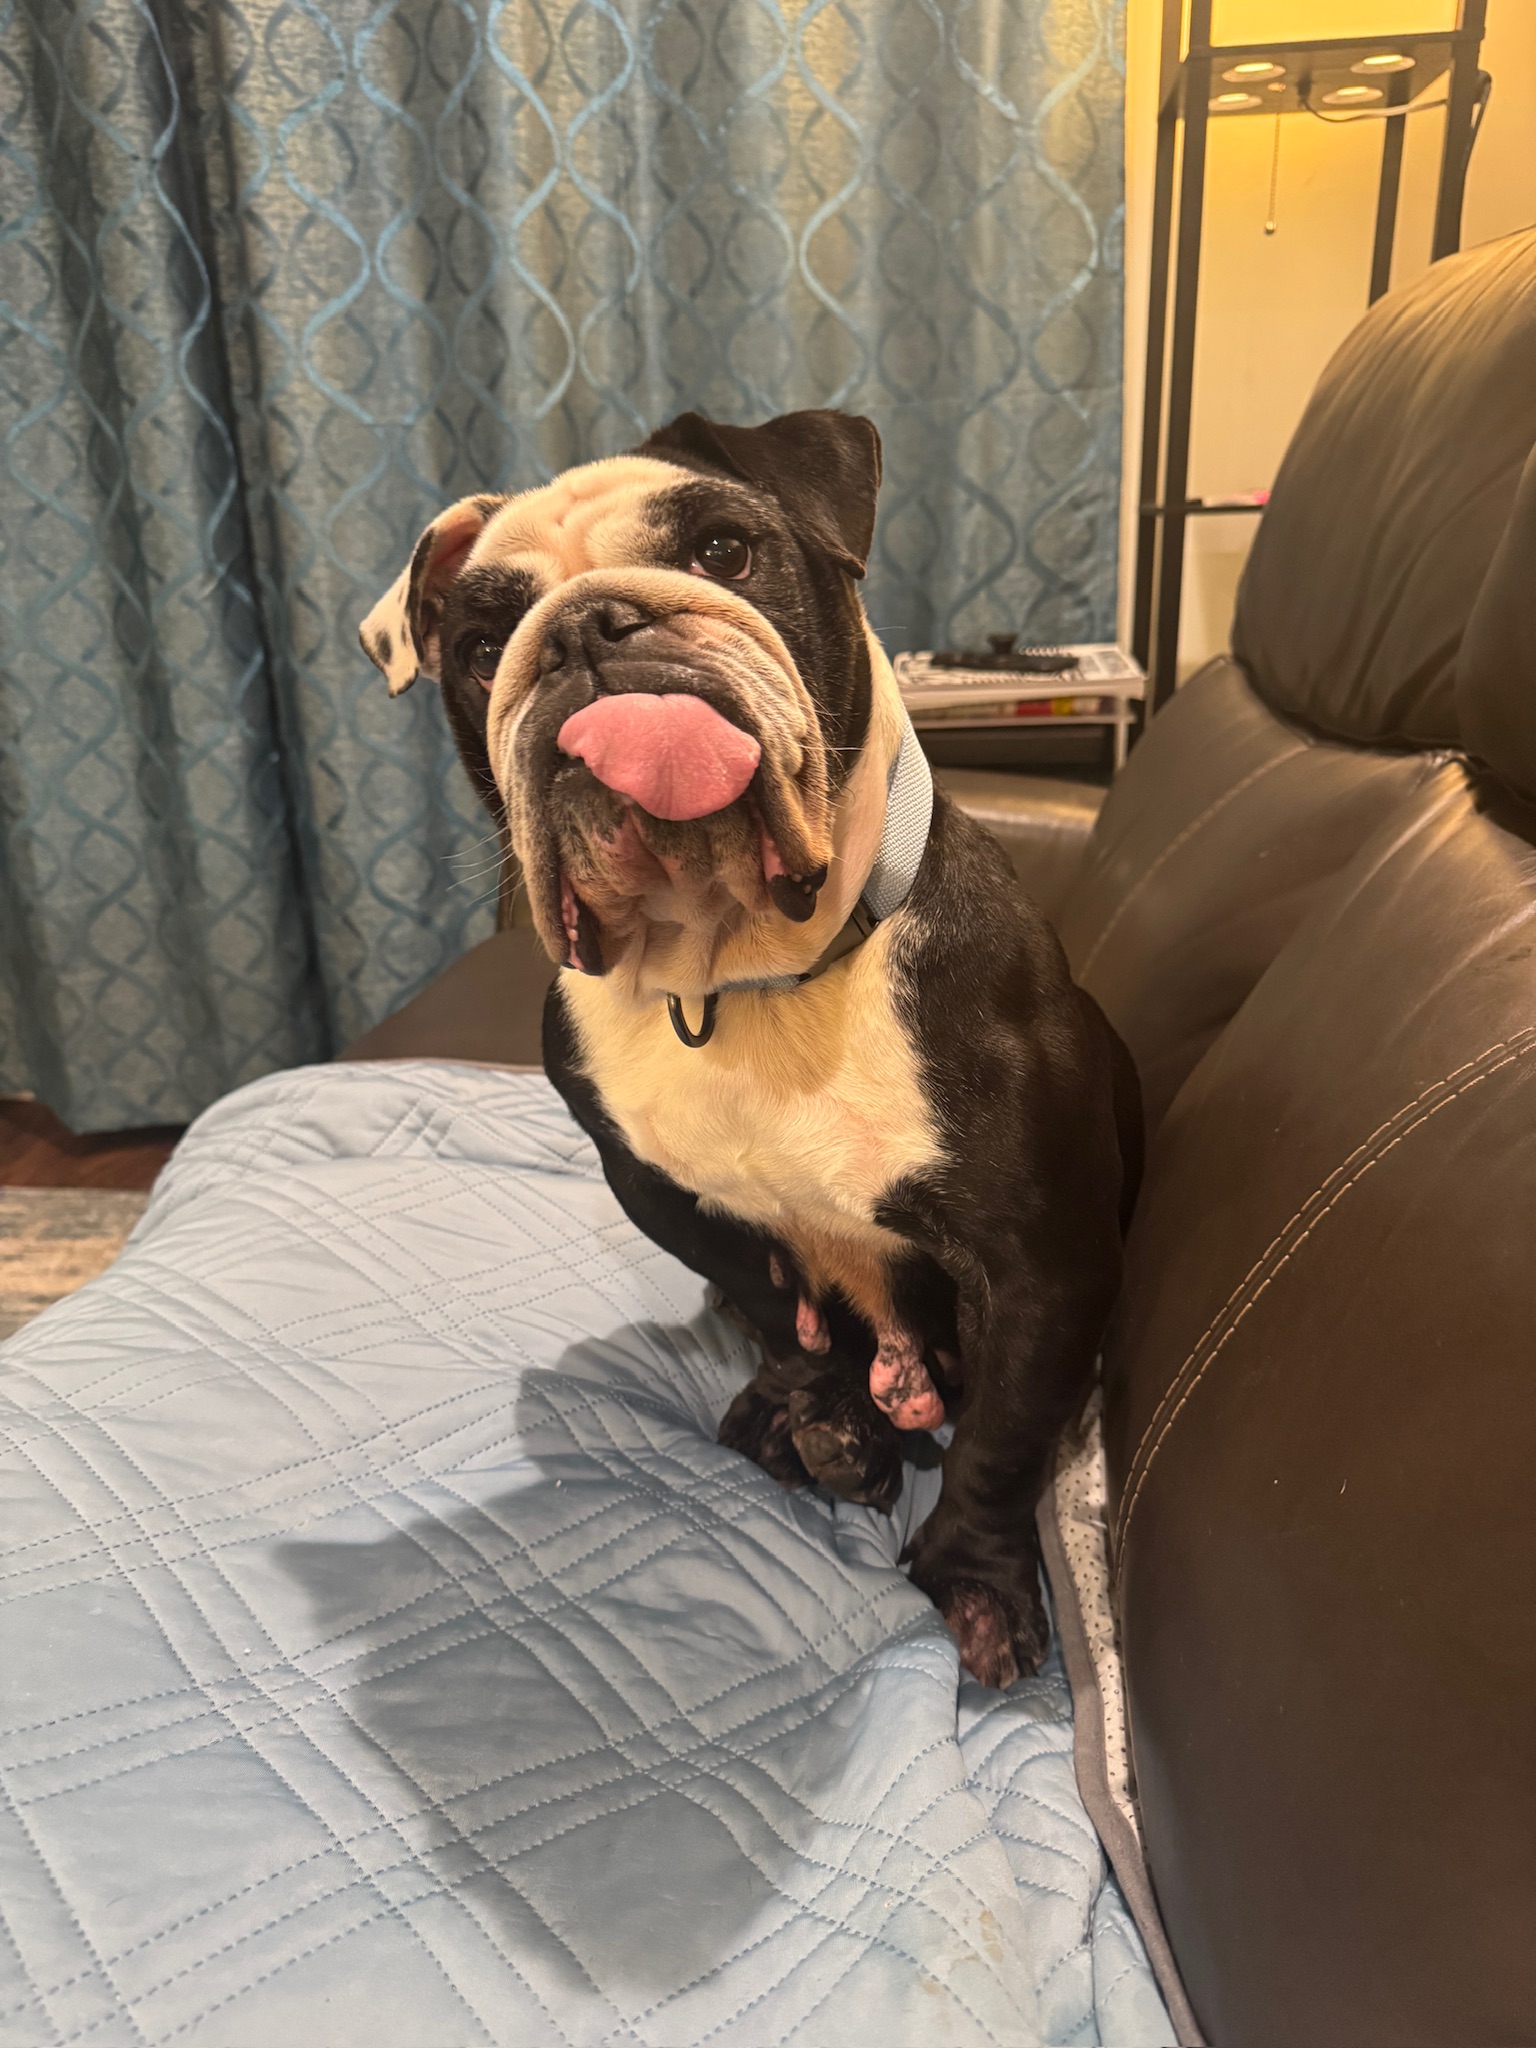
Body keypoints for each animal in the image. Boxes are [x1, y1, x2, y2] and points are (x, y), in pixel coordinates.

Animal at [360, 409, 1140, 1686]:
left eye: (724, 549)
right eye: (479, 646)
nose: (584, 629)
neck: (748, 979)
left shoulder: (1042, 1261)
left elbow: (1002, 1436)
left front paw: (974, 1579)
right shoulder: (668, 1193)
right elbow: (776, 1308)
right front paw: (810, 1405)